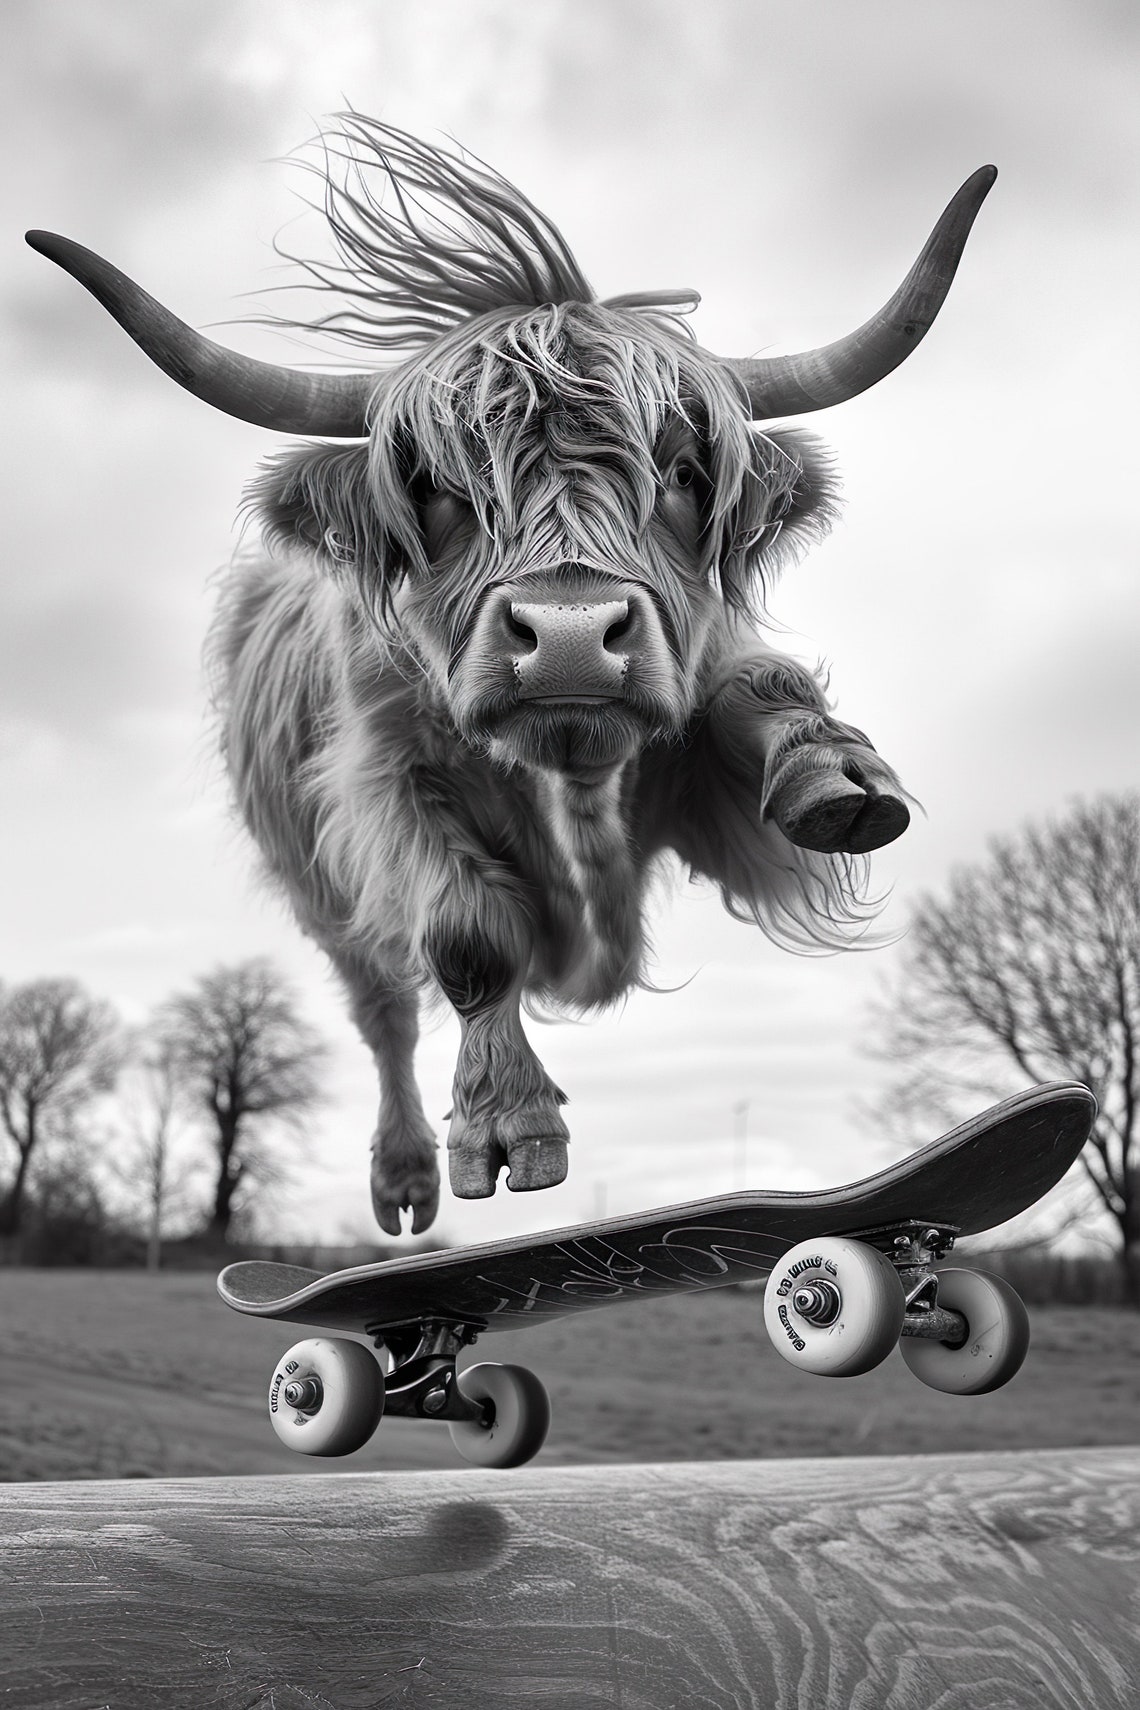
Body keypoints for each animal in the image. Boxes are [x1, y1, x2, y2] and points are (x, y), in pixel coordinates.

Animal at [28, 117, 995, 1235]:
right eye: (440, 490)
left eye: (681, 473)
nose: (570, 637)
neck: (572, 777)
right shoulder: (382, 784)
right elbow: (468, 936)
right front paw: (506, 1126)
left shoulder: (696, 699)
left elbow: (758, 687)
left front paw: (832, 778)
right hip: (320, 894)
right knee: (383, 1014)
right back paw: (403, 1178)